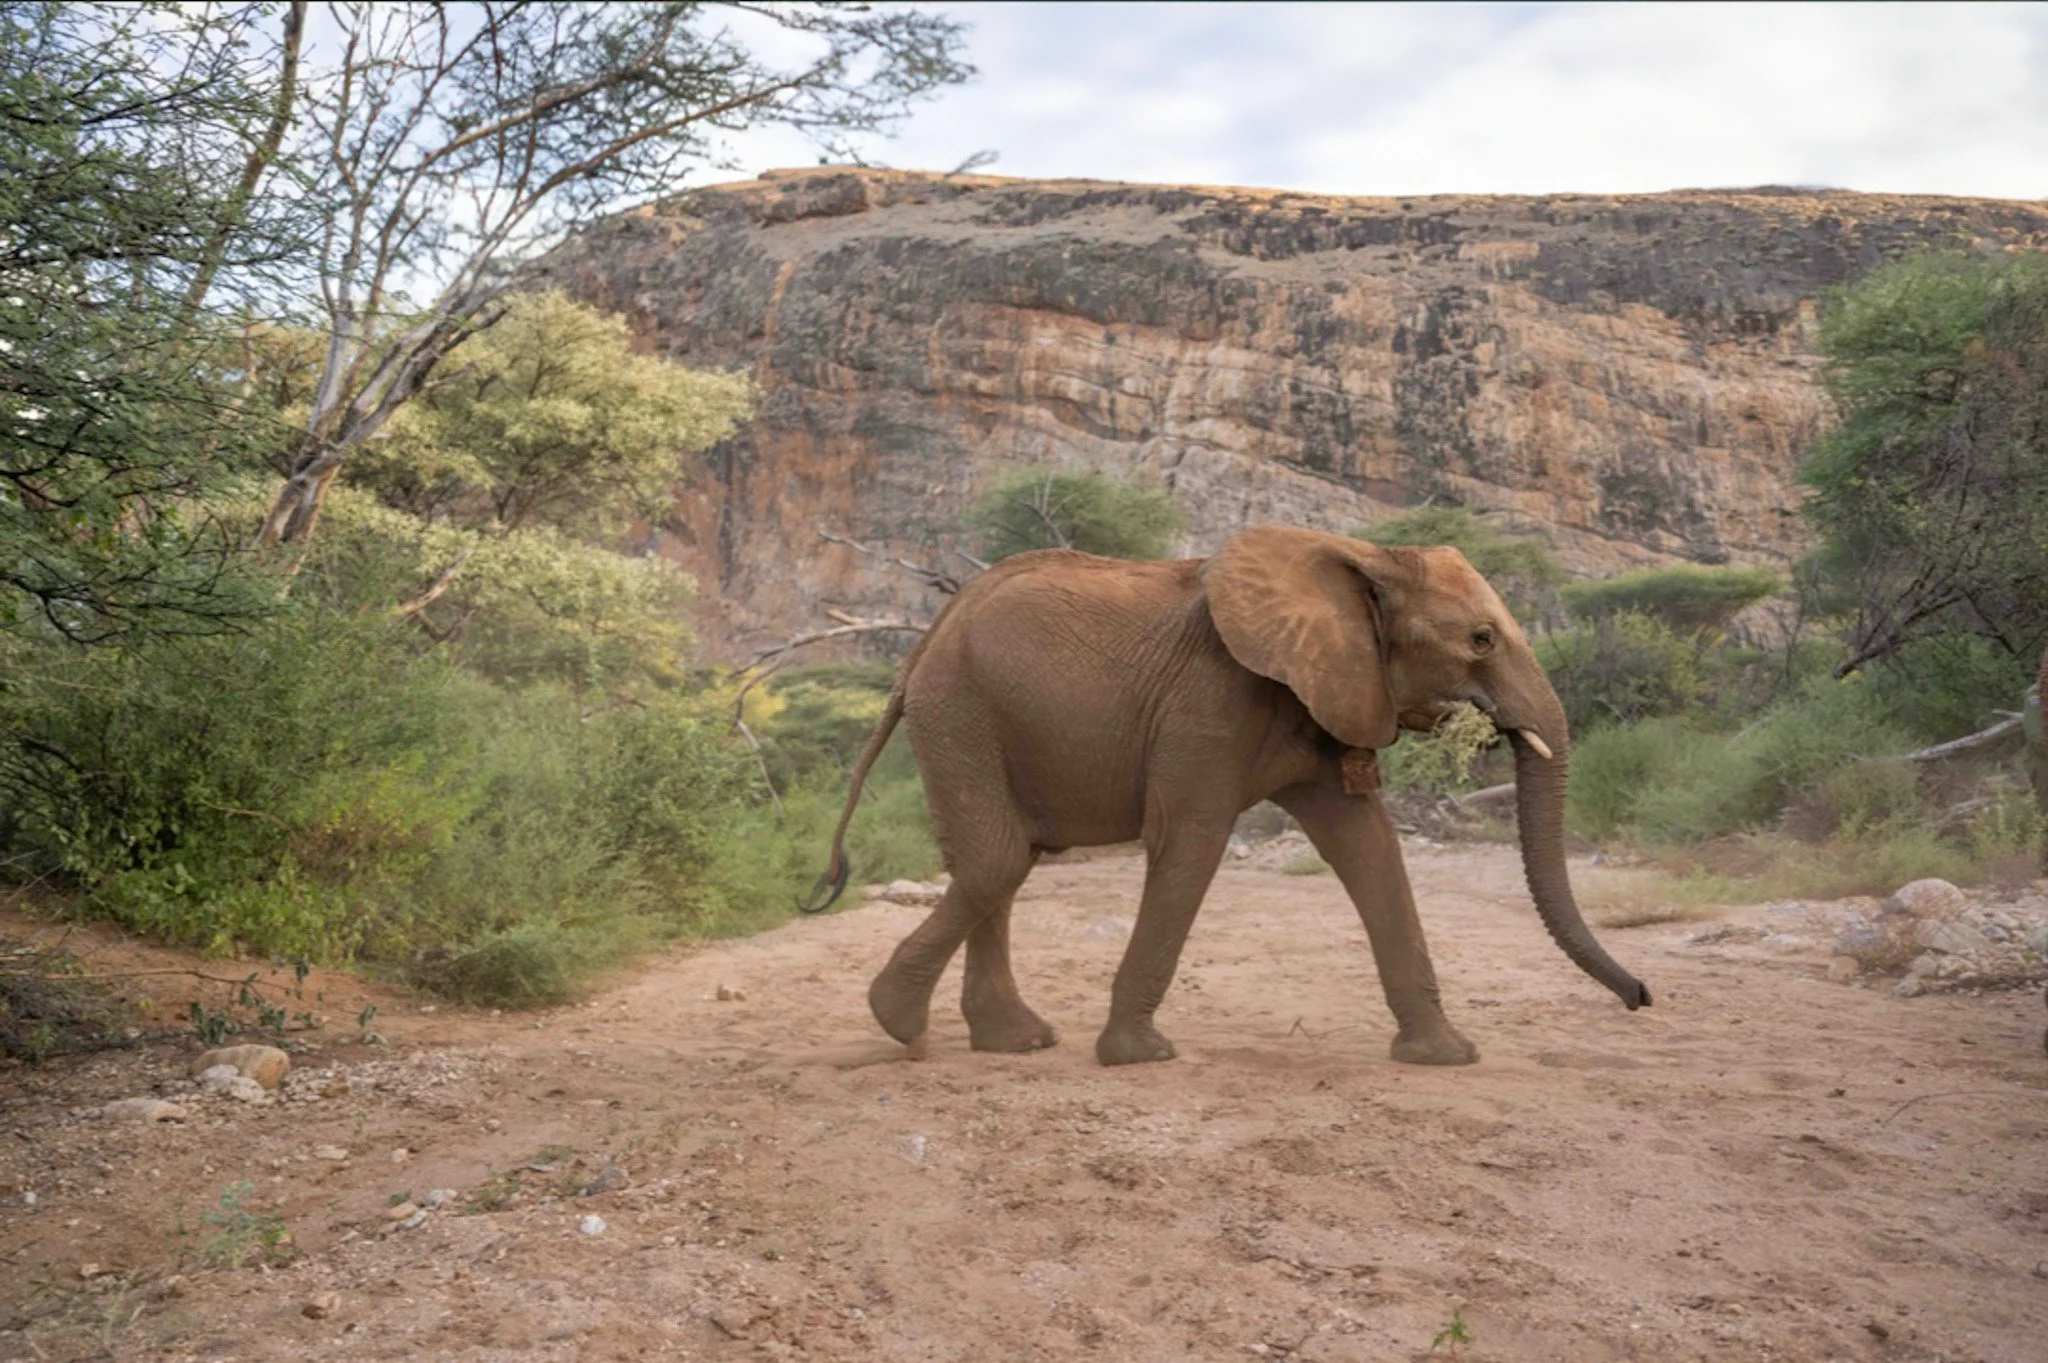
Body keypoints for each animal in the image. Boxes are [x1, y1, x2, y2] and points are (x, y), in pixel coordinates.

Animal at [808, 523, 1650, 1066]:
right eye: (1480, 639)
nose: (1642, 996)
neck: (1364, 556)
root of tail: (924, 640)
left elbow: (1369, 848)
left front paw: (1445, 1056)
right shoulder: (1211, 699)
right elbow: (1192, 839)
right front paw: (1140, 1056)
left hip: (974, 715)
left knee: (1003, 864)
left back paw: (1011, 1041)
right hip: (962, 710)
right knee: (997, 860)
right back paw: (898, 1024)